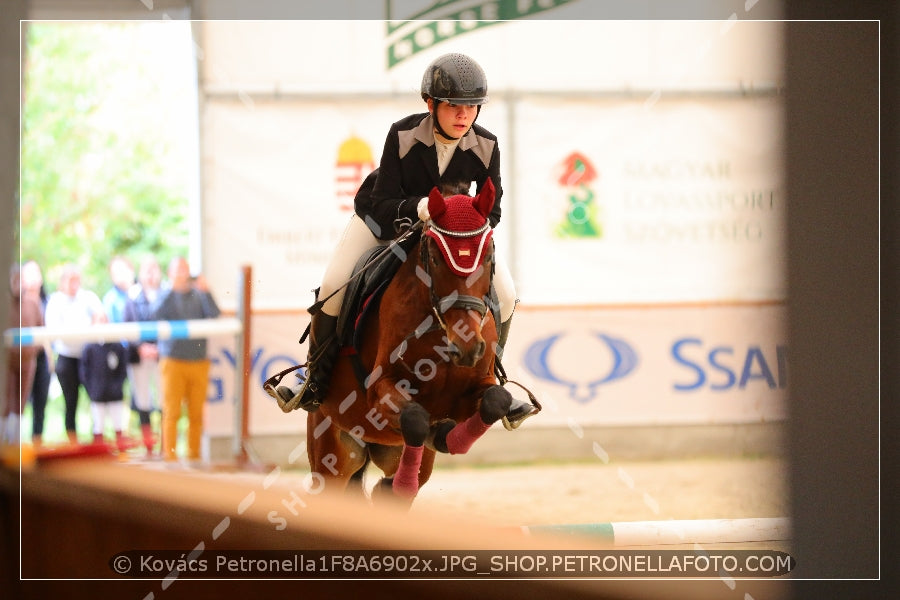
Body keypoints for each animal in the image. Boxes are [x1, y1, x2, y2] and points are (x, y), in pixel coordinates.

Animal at [304, 179, 516, 506]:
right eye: (436, 258)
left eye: (489, 256)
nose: (466, 347)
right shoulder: (380, 392)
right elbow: (415, 418)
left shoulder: (475, 389)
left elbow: (496, 400)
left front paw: (446, 436)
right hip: (332, 450)